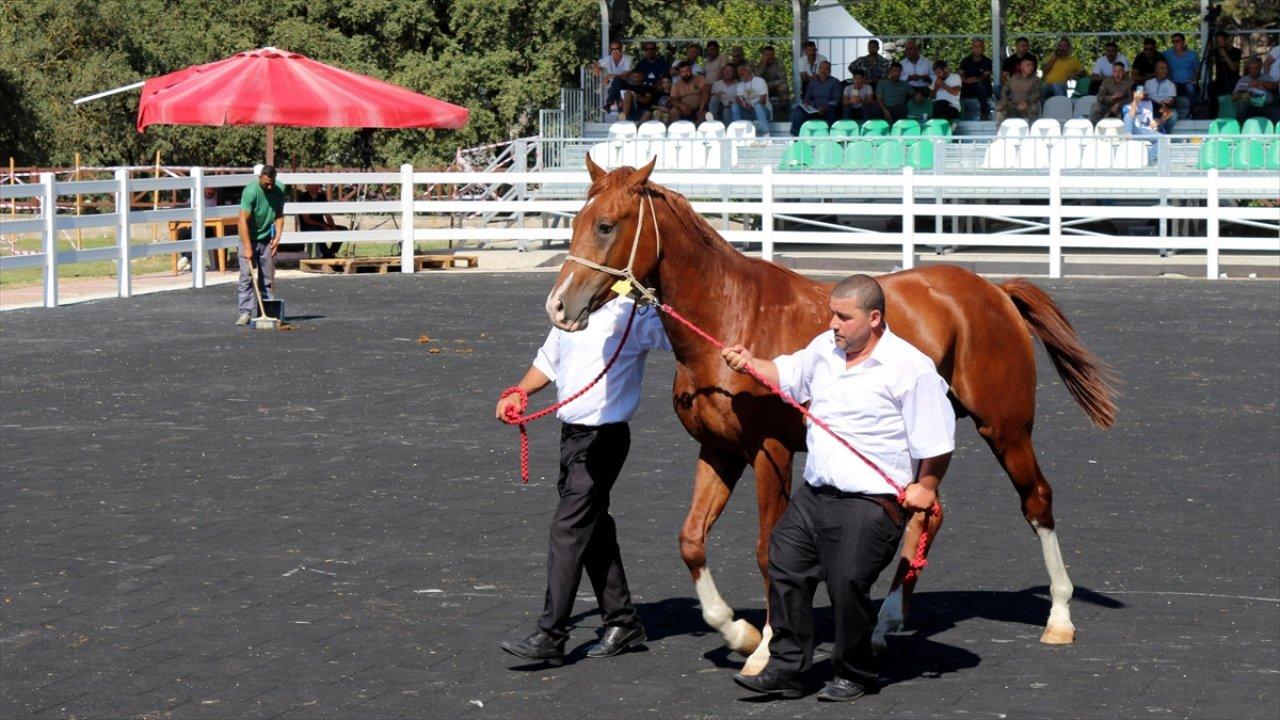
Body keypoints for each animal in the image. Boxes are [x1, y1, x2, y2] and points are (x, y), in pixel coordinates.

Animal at [545, 158, 1116, 671]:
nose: (558, 307)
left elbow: (766, 549)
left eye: (606, 225)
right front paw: (738, 631)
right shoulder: (720, 451)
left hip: (1006, 428)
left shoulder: (770, 452)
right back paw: (885, 625)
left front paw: (765, 647)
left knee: (1036, 500)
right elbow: (691, 540)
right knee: (927, 511)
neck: (732, 316)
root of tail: (995, 291)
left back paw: (1059, 616)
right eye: (574, 220)